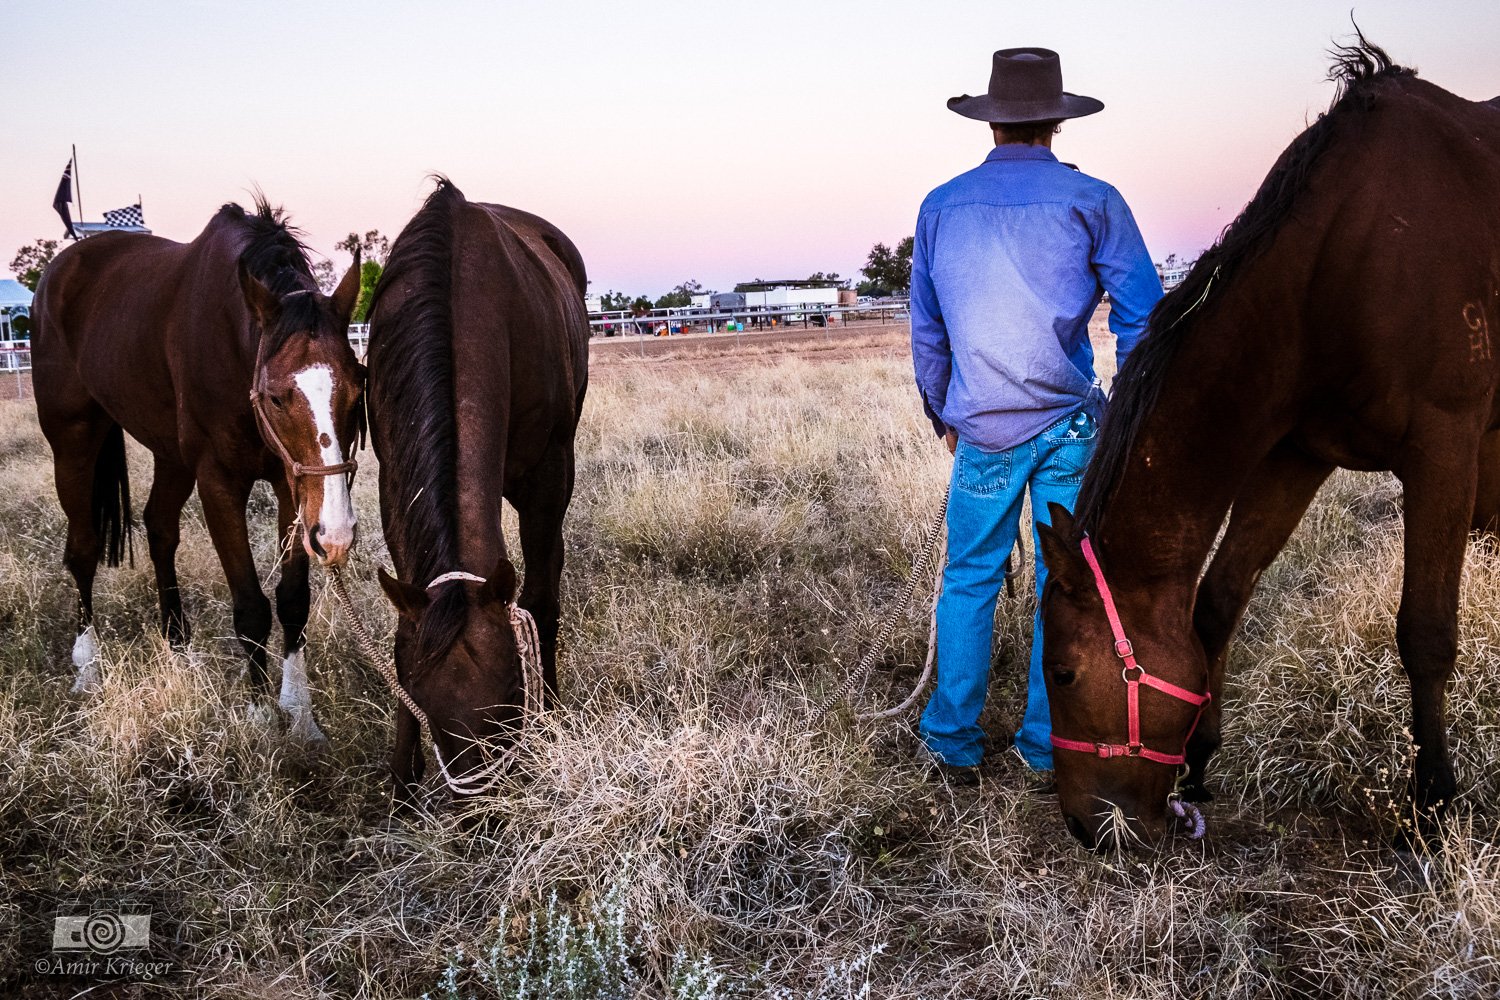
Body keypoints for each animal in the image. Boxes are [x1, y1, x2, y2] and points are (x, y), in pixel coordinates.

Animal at [1038, 41, 1500, 851]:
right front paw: (1199, 759)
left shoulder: (1445, 447)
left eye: (1062, 673)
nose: (1085, 827)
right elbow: (1218, 600)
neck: (1348, 259)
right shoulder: (1296, 456)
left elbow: (1427, 632)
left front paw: (1433, 801)